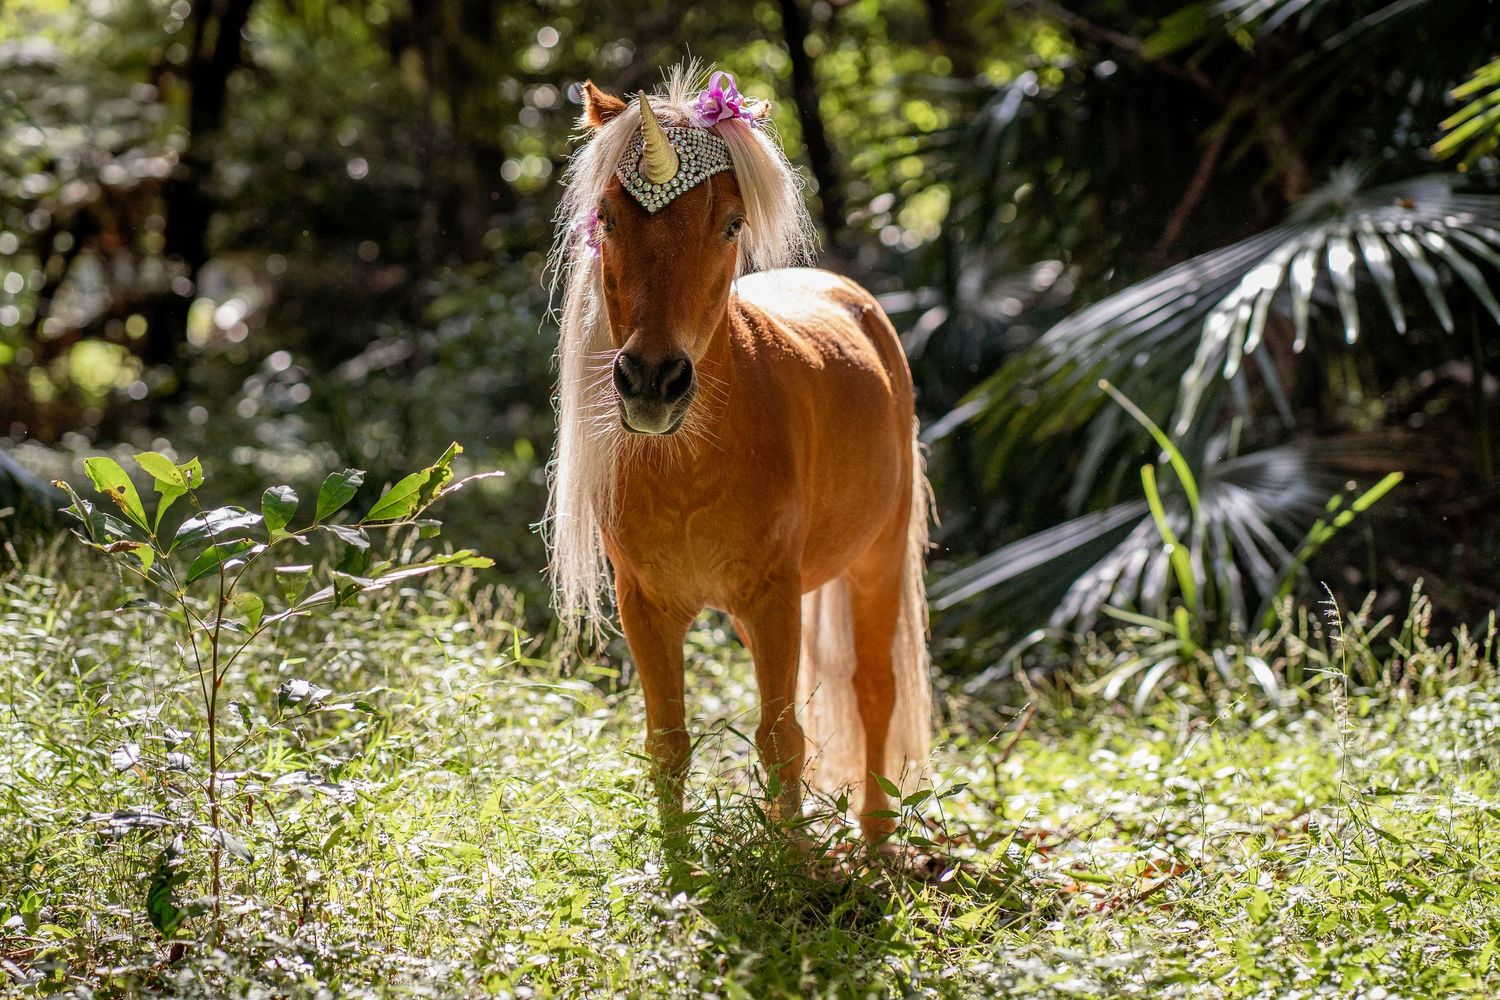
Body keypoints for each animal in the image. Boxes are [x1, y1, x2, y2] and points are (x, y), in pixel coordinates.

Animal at [545, 66, 931, 844]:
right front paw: (679, 863)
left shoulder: (773, 595)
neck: (690, 466)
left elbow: (782, 737)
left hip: (876, 557)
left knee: (875, 690)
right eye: (608, 219)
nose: (651, 382)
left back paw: (876, 836)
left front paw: (792, 863)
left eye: (729, 223)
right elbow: (668, 742)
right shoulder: (647, 606)